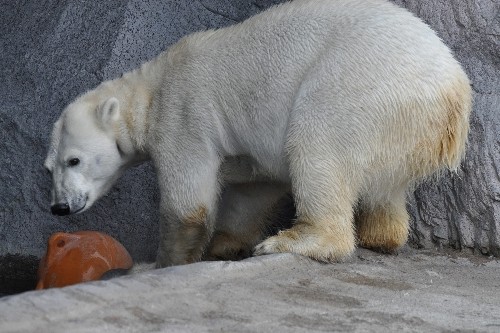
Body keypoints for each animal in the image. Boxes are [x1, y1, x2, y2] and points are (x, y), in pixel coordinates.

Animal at [45, 0, 470, 266]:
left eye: (74, 160)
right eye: (49, 167)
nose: (59, 207)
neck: (151, 89)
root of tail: (455, 95)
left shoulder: (184, 116)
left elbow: (188, 206)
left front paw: (163, 262)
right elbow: (253, 189)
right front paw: (223, 244)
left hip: (362, 86)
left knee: (318, 143)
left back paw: (295, 240)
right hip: (404, 129)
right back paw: (381, 235)